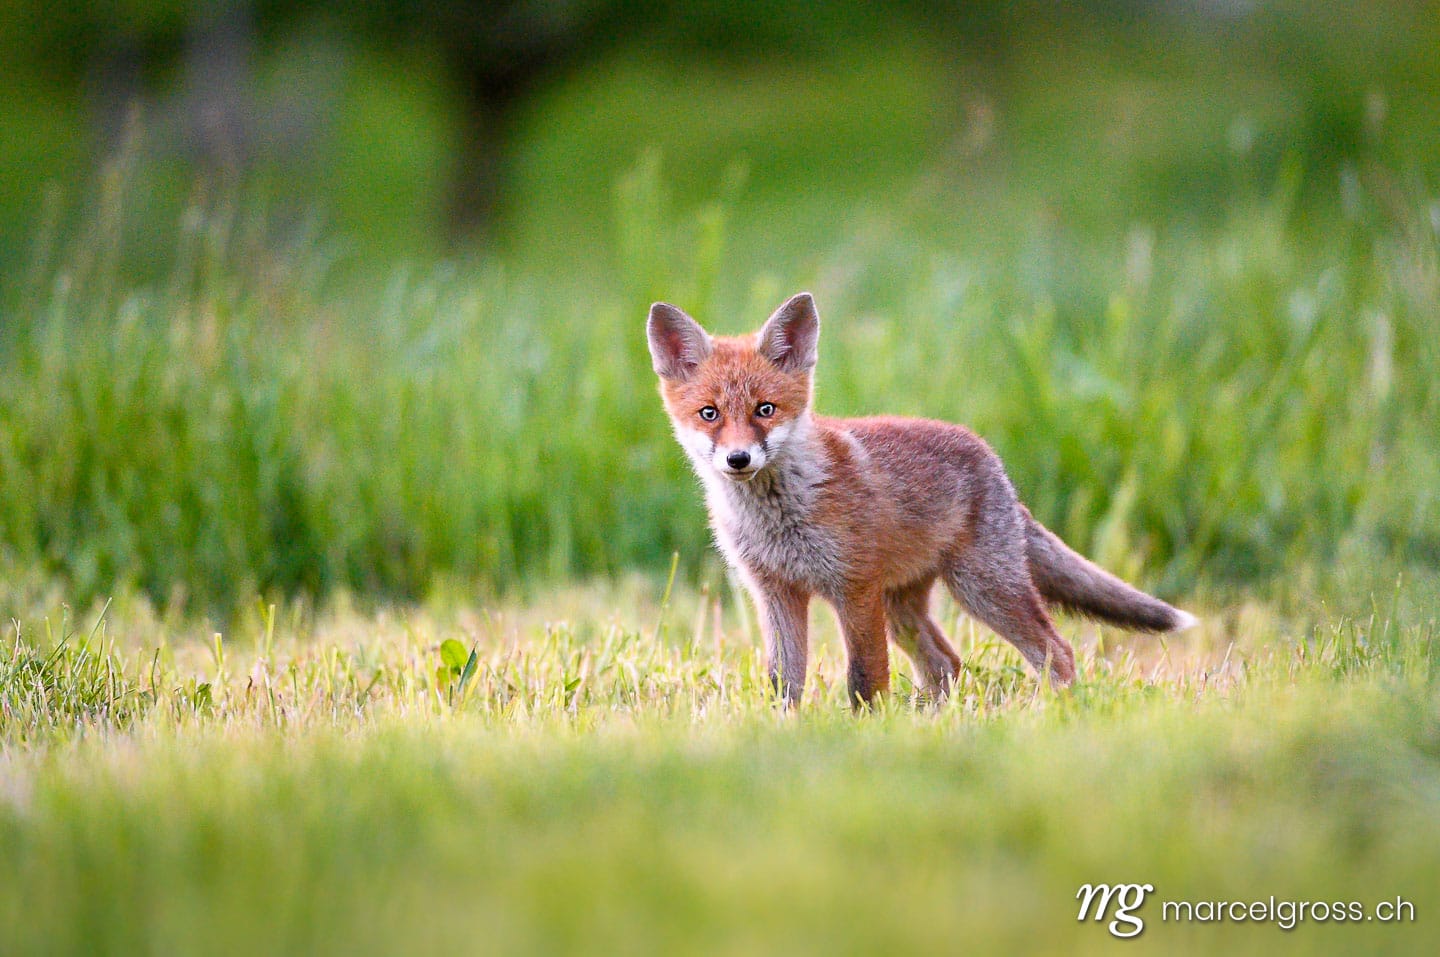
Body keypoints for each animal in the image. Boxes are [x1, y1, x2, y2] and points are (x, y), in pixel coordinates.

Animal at [647, 291, 1196, 708]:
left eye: (766, 409)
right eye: (710, 413)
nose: (738, 459)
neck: (780, 517)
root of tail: (993, 462)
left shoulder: (855, 589)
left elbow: (865, 678)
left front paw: (864, 732)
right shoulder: (776, 593)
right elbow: (785, 683)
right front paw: (787, 732)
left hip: (981, 589)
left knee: (1055, 651)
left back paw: (1053, 712)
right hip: (904, 608)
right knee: (946, 663)